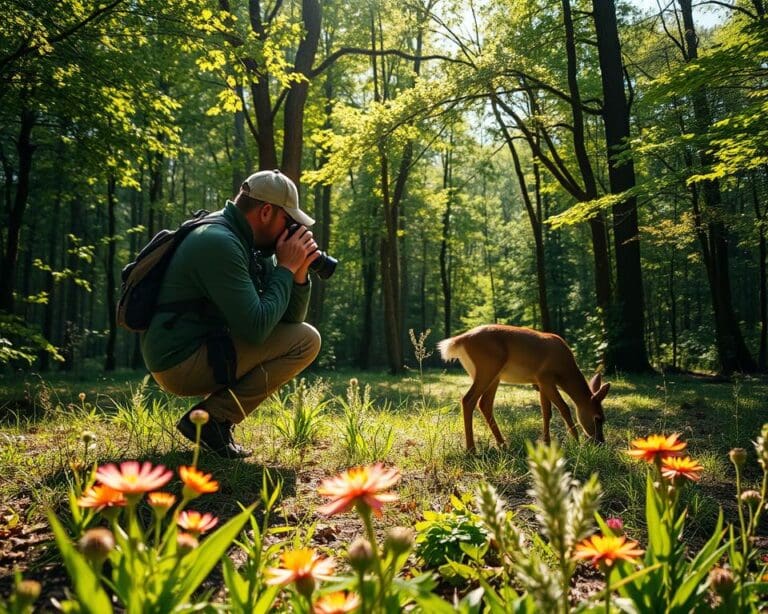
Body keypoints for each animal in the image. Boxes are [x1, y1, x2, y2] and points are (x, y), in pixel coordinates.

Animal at [438, 328, 612, 452]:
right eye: (598, 418)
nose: (600, 442)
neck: (565, 371)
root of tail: (459, 340)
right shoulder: (546, 378)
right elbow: (564, 408)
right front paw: (576, 442)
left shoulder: (540, 383)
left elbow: (546, 412)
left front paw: (547, 442)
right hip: (487, 369)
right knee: (468, 400)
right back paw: (471, 449)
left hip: (494, 376)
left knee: (484, 404)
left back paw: (502, 444)